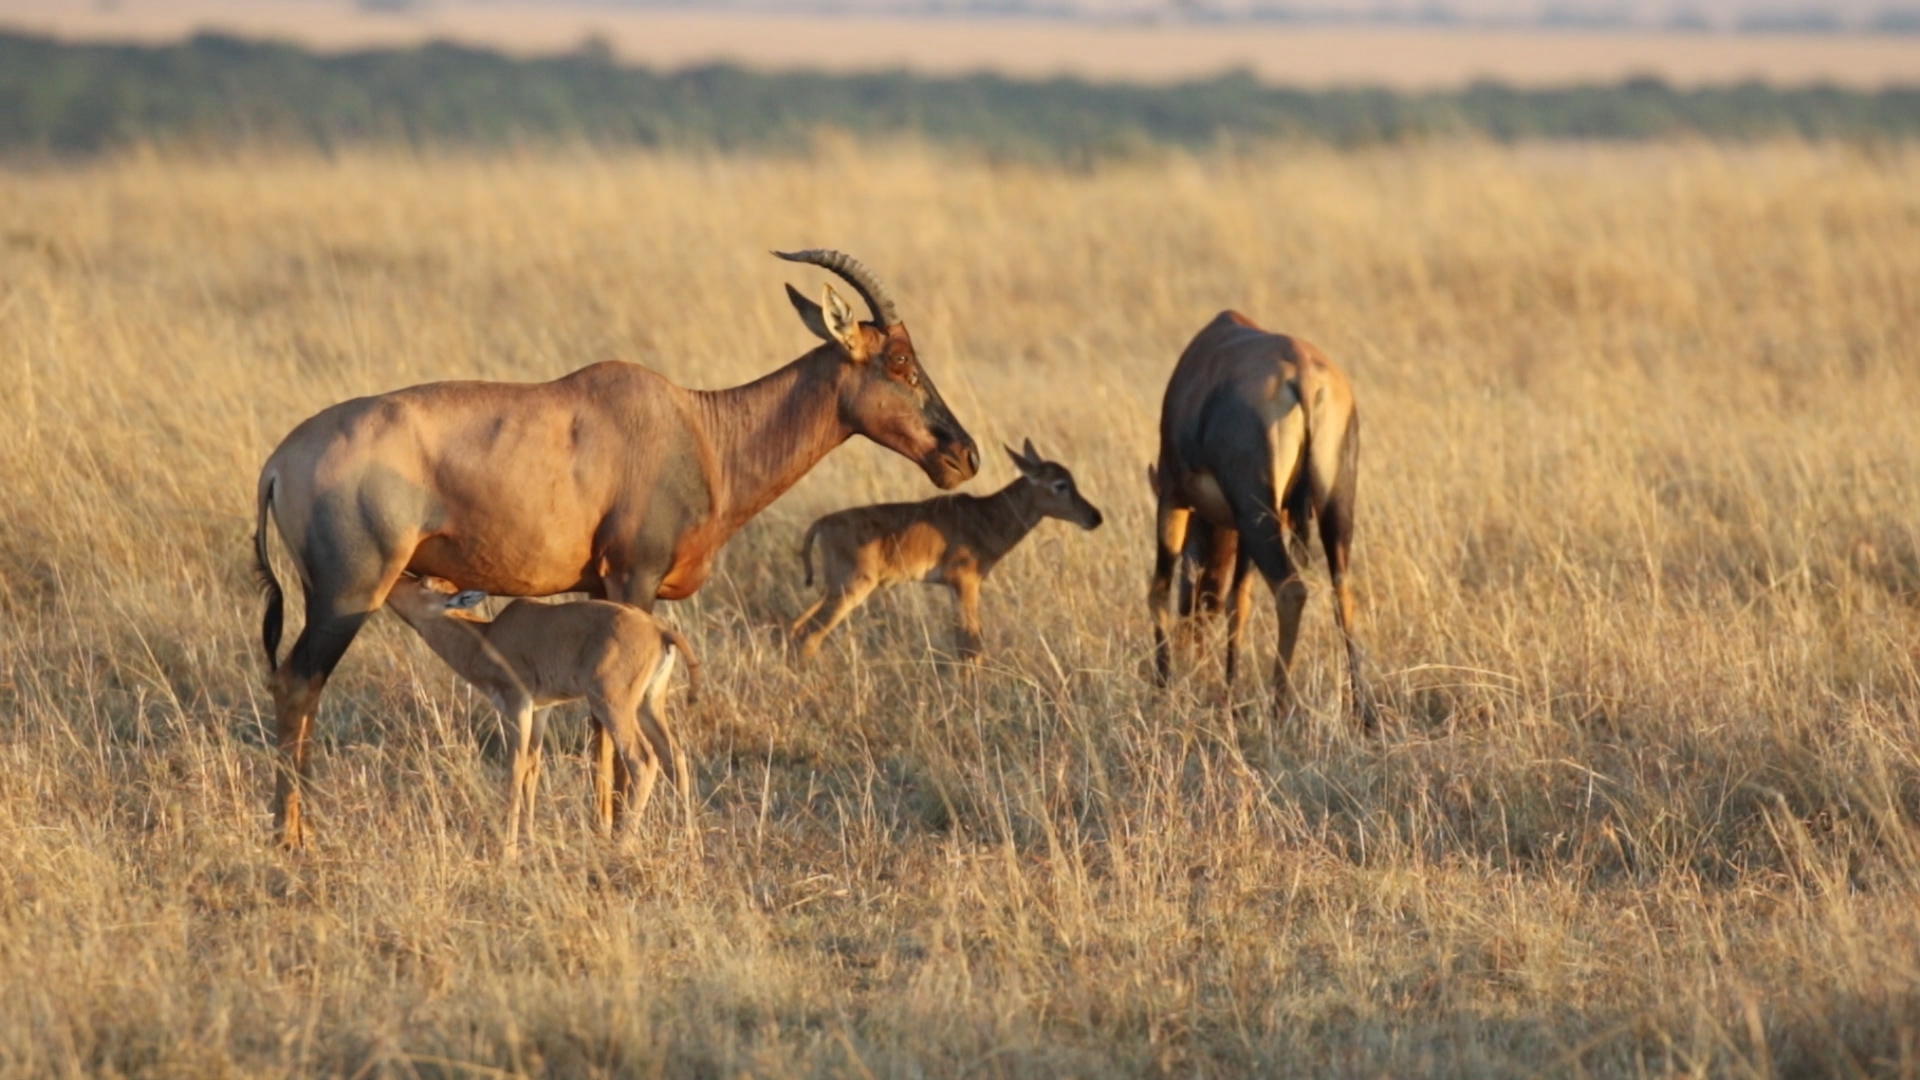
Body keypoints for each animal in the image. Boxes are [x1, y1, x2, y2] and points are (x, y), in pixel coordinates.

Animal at [380, 572, 698, 849]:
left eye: (424, 582)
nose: (393, 580)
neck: (488, 637)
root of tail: (660, 630)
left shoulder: (518, 705)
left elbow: (515, 768)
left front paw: (508, 853)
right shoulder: (541, 710)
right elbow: (532, 768)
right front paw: (529, 842)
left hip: (612, 706)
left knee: (643, 760)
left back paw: (621, 847)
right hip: (648, 705)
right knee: (675, 756)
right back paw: (688, 844)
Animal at [787, 438, 1105, 657]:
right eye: (1060, 484)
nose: (1095, 517)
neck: (986, 514)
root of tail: (823, 523)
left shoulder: (956, 587)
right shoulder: (964, 582)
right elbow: (971, 644)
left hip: (831, 588)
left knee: (796, 627)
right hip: (852, 587)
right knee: (810, 635)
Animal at [1144, 313, 1374, 730]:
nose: (1192, 647)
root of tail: (1304, 375)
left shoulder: (1173, 498)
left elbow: (1159, 590)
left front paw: (1161, 692)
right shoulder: (1247, 523)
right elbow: (1239, 602)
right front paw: (1228, 699)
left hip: (1254, 510)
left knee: (1291, 591)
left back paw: (1279, 709)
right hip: (1328, 504)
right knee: (1342, 591)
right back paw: (1362, 713)